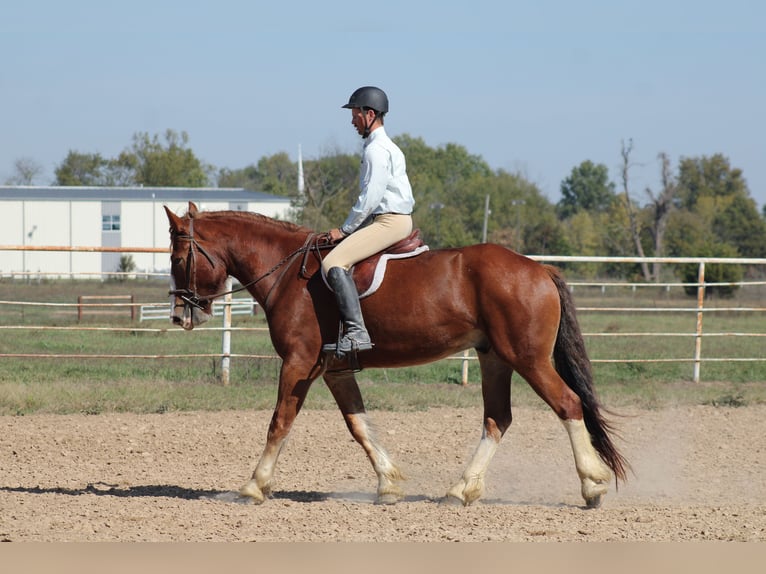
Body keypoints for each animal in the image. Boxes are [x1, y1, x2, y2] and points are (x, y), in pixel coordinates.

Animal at [165, 202, 628, 508]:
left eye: (180, 257)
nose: (179, 315)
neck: (288, 272)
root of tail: (538, 268)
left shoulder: (298, 364)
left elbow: (279, 423)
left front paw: (253, 486)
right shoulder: (334, 370)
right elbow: (359, 426)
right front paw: (388, 485)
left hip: (527, 358)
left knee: (568, 404)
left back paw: (591, 486)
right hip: (494, 357)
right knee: (498, 419)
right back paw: (461, 490)